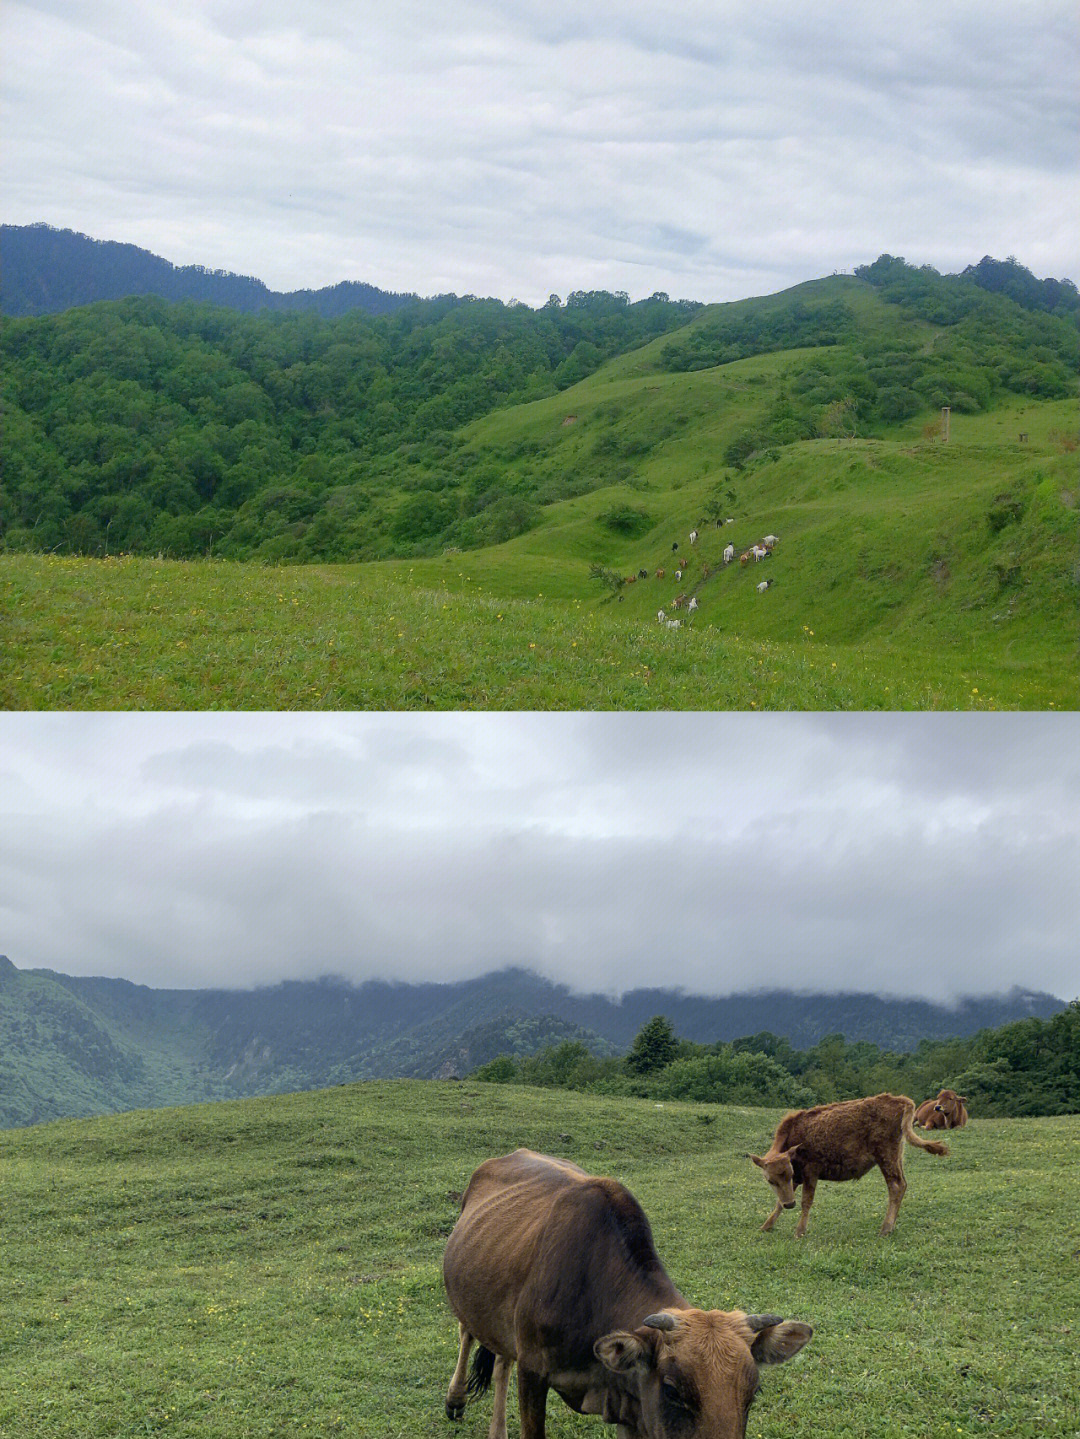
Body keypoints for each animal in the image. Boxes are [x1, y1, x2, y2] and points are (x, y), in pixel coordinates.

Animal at [440, 1145, 811, 1439]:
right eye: (672, 1391)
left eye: (754, 1391)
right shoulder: (533, 1371)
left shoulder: (633, 1406)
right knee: (467, 1333)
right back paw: (455, 1399)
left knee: (502, 1357)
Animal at [747, 1087, 949, 1237]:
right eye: (770, 1180)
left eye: (787, 1174)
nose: (790, 1205)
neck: (795, 1134)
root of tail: (900, 1100)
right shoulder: (797, 1177)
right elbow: (779, 1201)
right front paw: (766, 1226)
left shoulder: (810, 1172)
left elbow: (806, 1201)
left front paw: (799, 1231)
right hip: (897, 1156)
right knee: (902, 1185)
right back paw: (891, 1226)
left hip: (886, 1157)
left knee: (896, 1186)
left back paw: (885, 1228)